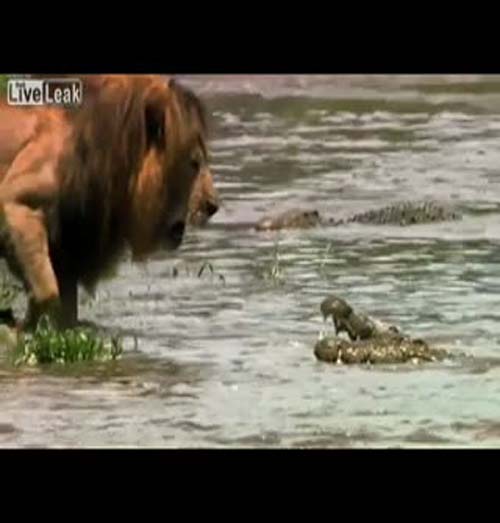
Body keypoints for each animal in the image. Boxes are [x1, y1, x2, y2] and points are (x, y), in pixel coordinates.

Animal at [0, 74, 211, 328]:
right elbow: (47, 292)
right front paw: (20, 329)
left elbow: (66, 309)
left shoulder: (69, 242)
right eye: (194, 163)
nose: (213, 206)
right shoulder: (16, 201)